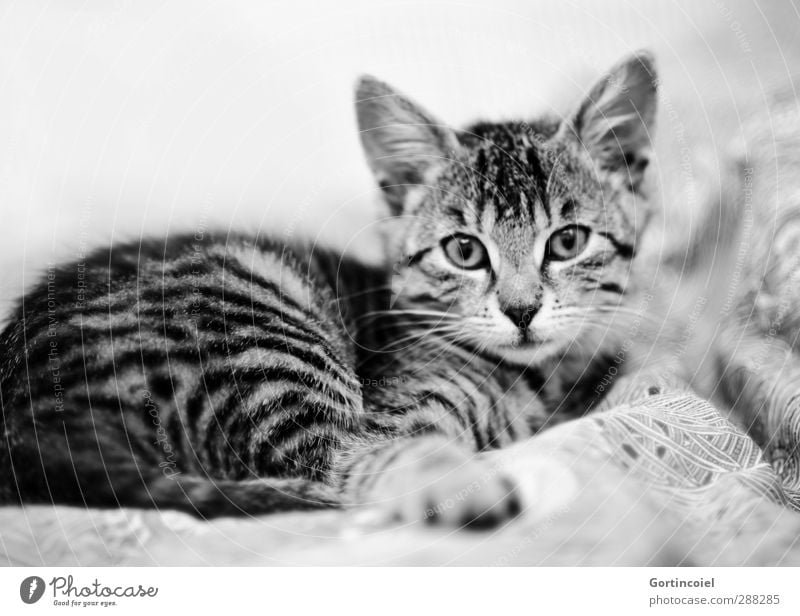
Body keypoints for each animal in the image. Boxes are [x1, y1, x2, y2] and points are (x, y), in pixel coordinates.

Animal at [0, 53, 656, 528]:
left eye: (567, 242)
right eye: (465, 252)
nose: (522, 310)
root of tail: (25, 425)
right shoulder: (398, 410)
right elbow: (380, 450)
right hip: (262, 341)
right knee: (333, 463)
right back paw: (458, 487)